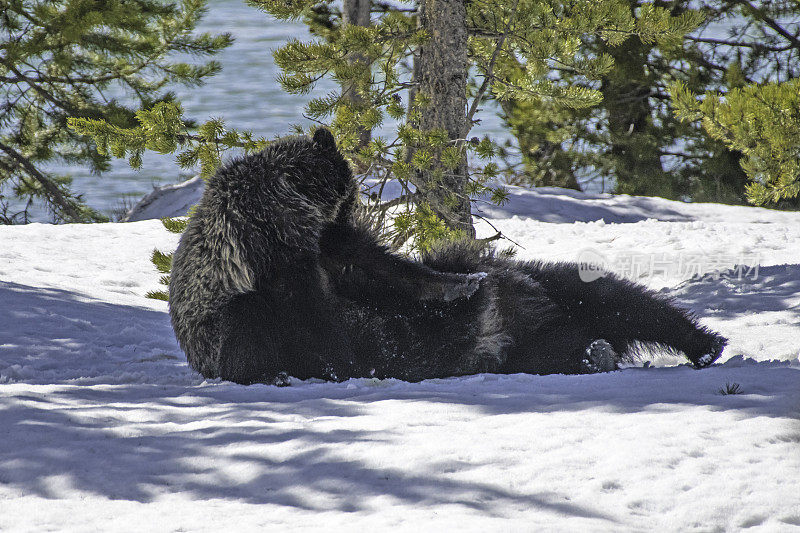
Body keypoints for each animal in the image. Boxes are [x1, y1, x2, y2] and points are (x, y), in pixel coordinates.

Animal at [167, 131, 724, 384]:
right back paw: (597, 354)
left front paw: (462, 285)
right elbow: (329, 331)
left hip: (546, 294)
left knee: (616, 296)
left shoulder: (337, 252)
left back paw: (702, 344)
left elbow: (398, 270)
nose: (350, 200)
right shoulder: (284, 286)